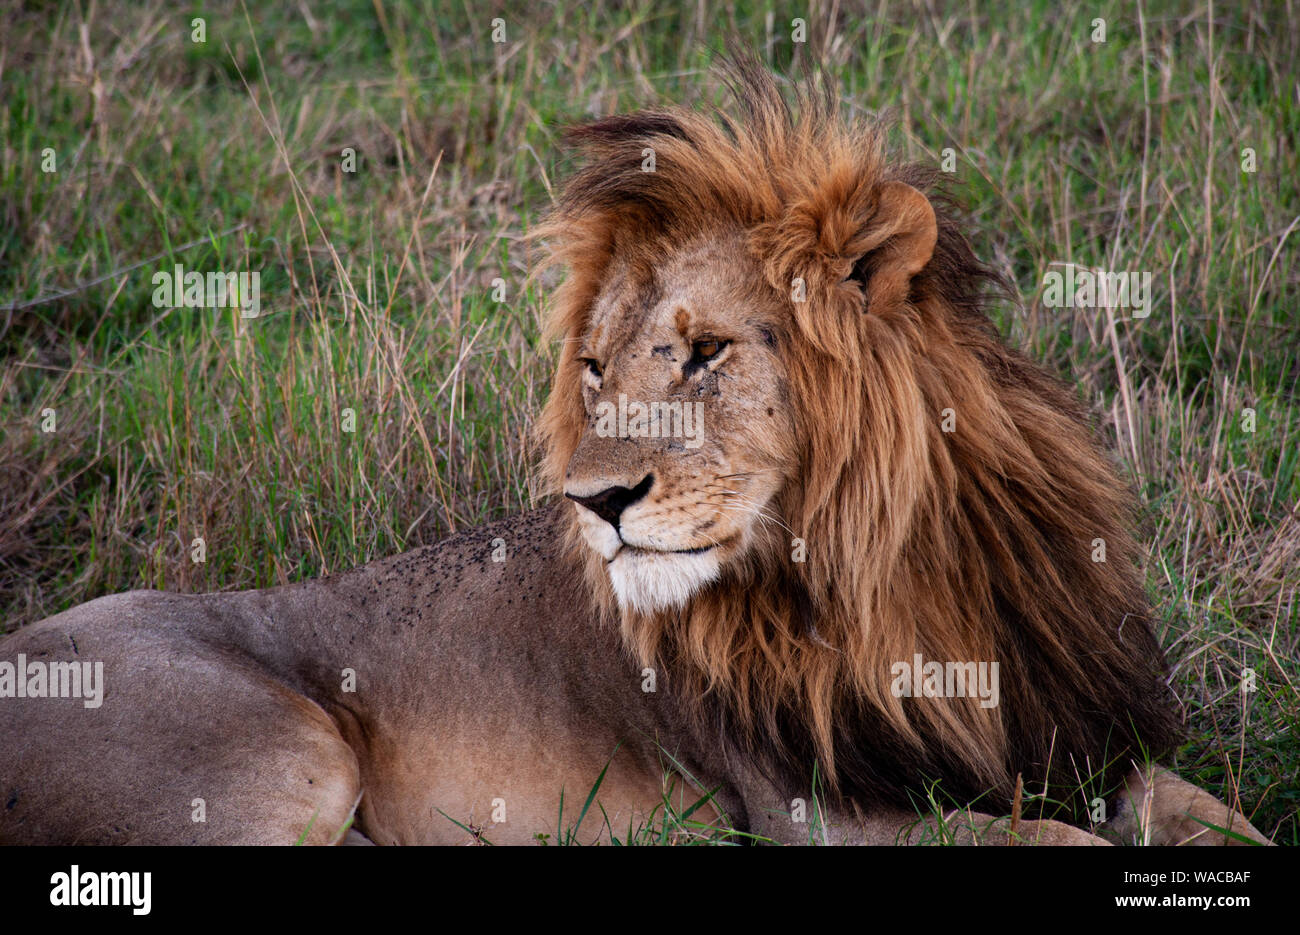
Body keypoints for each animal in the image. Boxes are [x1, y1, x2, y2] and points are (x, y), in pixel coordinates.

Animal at [0, 60, 1274, 847]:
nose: (594, 501)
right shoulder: (821, 810)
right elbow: (1050, 838)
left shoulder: (1067, 730)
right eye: (596, 371)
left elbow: (1202, 809)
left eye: (705, 351)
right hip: (281, 758)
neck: (895, 565)